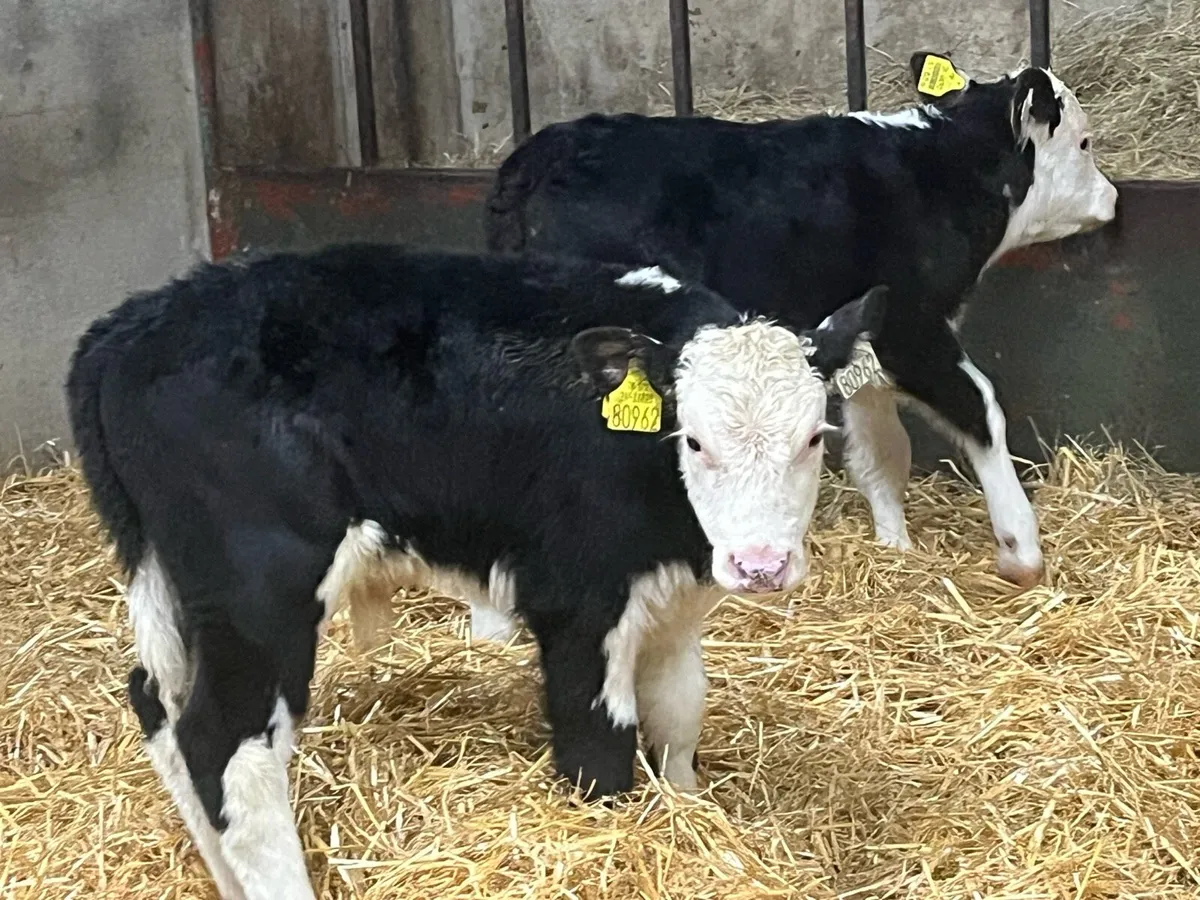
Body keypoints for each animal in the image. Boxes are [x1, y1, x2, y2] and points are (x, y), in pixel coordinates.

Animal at [66, 243, 885, 900]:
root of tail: (132, 325)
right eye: (694, 439)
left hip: (177, 586)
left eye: (815, 437)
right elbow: (599, 746)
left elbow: (679, 717)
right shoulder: (577, 603)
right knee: (225, 742)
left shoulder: (673, 601)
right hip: (260, 590)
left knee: (160, 707)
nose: (760, 564)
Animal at [484, 51, 1120, 588]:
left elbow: (880, 449)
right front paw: (1021, 549)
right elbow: (980, 408)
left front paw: (894, 547)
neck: (935, 178)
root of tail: (537, 158)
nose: (1113, 199)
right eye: (1084, 143)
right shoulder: (912, 329)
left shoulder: (861, 335)